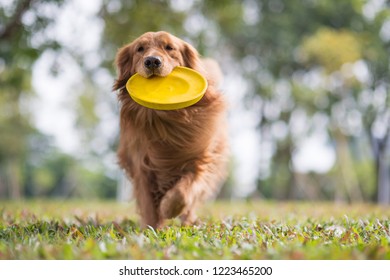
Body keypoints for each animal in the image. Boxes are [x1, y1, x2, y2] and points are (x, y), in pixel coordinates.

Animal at [112, 30, 229, 229]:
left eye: (169, 47)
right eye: (140, 49)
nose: (152, 61)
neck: (165, 121)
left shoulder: (198, 159)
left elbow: (182, 193)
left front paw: (168, 207)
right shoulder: (141, 165)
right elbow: (148, 205)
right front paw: (152, 228)